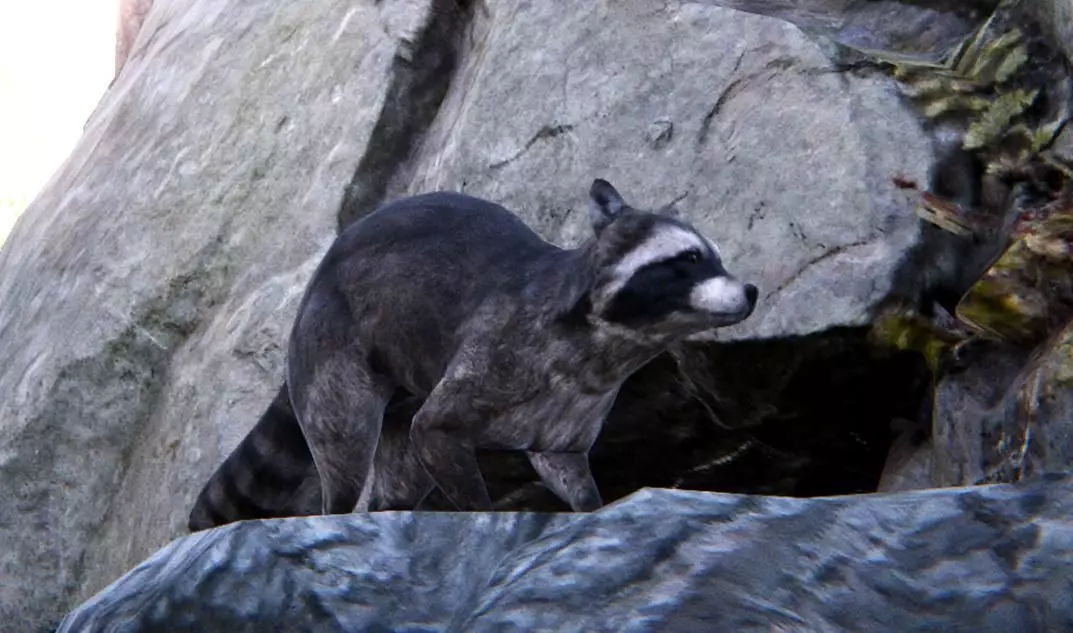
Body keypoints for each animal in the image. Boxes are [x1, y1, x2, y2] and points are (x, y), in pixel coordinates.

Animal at [189, 179, 757, 530]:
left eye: (714, 258)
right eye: (689, 260)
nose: (750, 290)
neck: (612, 346)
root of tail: (311, 289)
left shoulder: (574, 408)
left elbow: (564, 466)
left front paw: (590, 509)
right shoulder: (500, 352)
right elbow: (436, 430)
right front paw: (481, 514)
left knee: (399, 465)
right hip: (335, 348)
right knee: (346, 445)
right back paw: (341, 511)